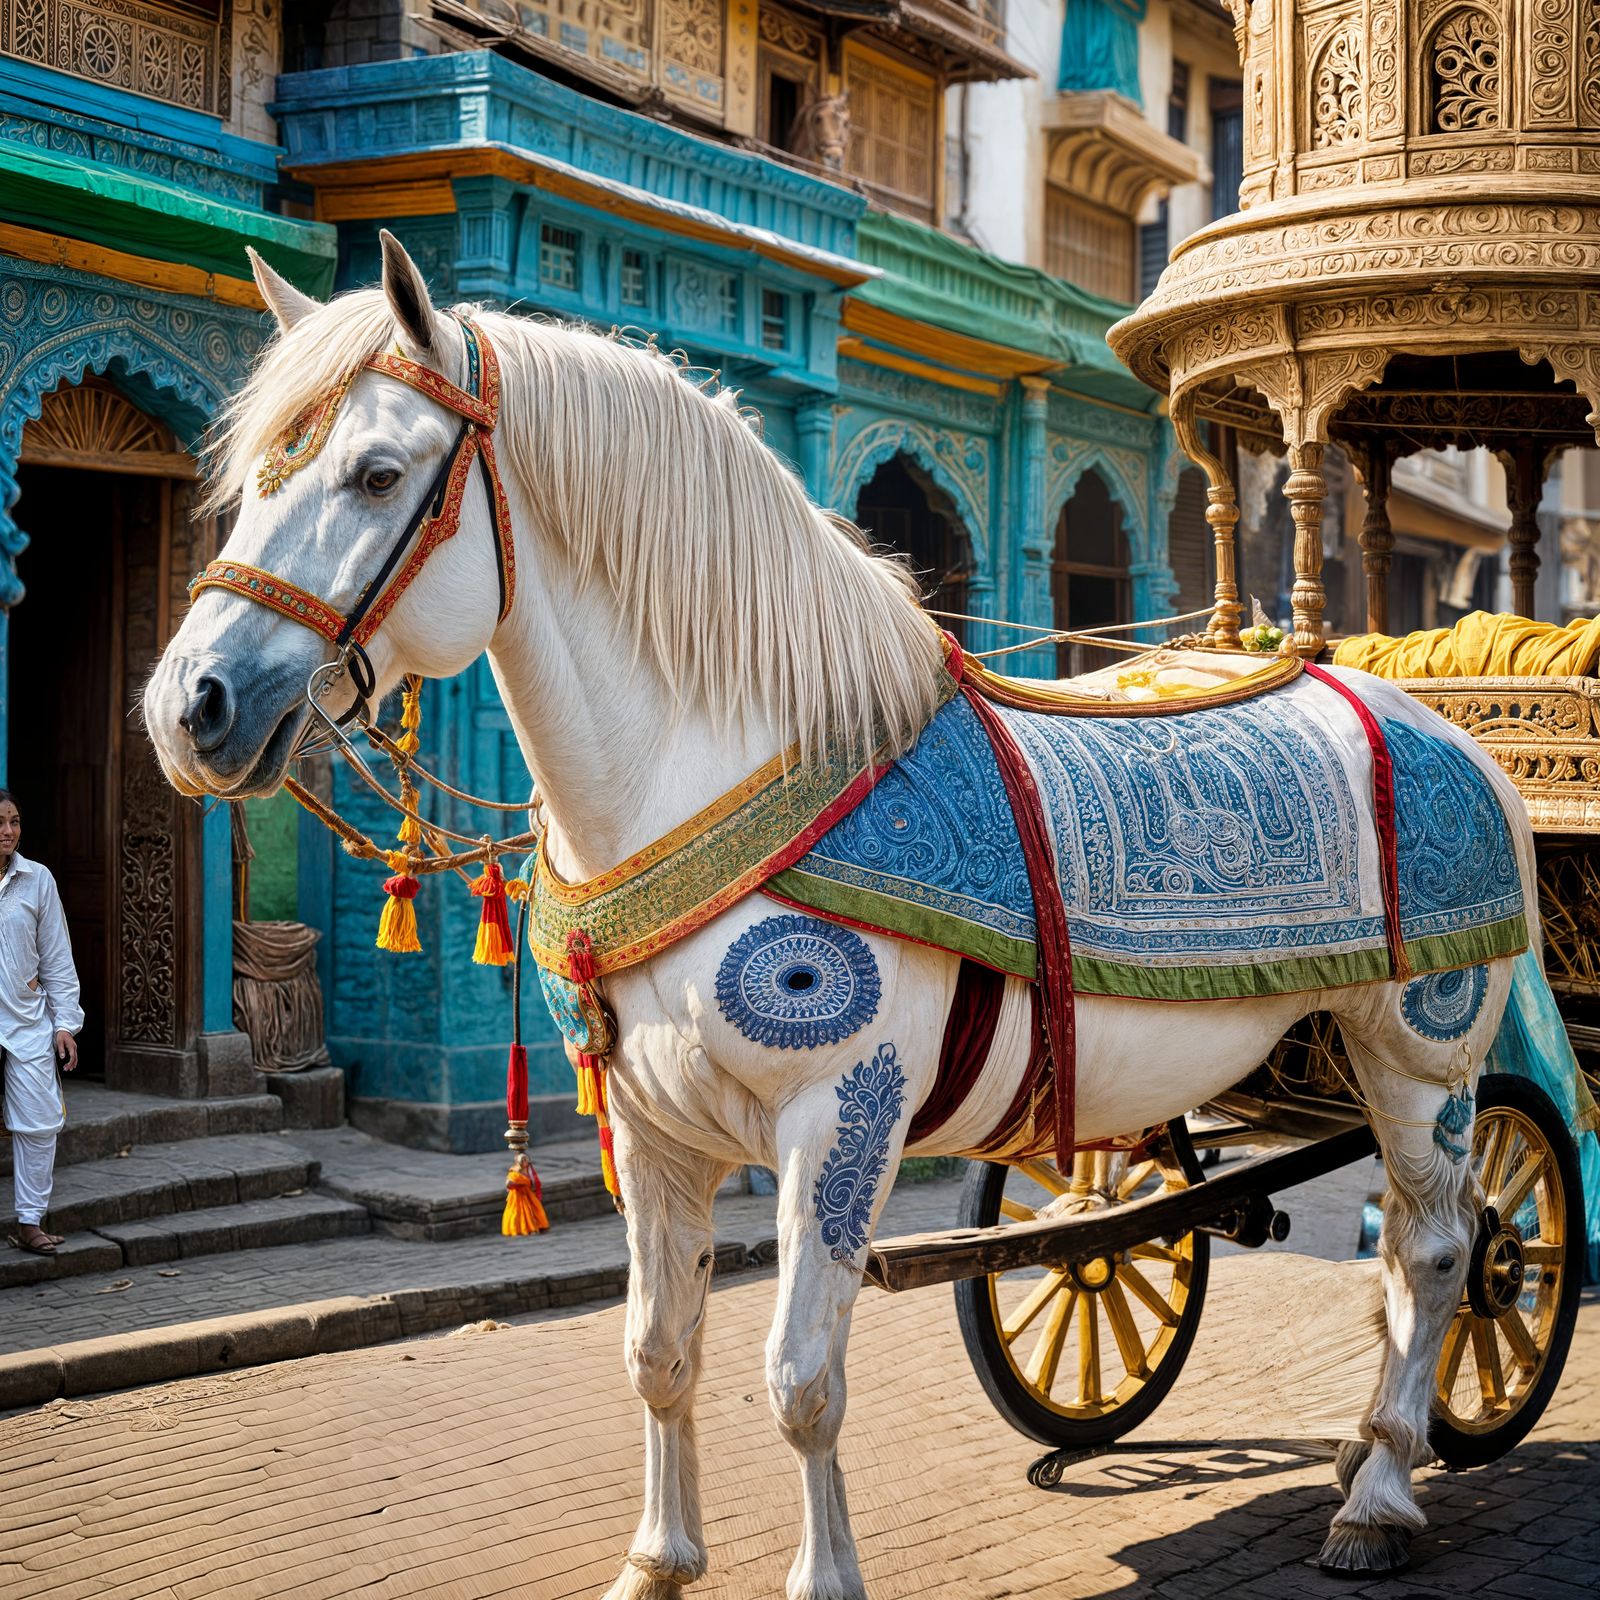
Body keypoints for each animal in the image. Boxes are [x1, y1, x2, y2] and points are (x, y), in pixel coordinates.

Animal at [143, 233, 1536, 1595]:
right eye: (252, 478)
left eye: (377, 475)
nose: (188, 705)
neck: (718, 766)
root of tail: (1436, 723)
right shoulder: (649, 1127)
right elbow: (657, 1350)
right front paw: (657, 1561)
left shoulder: (844, 1110)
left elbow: (800, 1381)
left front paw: (819, 1574)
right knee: (1388, 1253)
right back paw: (1367, 1445)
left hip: (1421, 1050)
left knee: (1438, 1245)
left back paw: (1379, 1491)